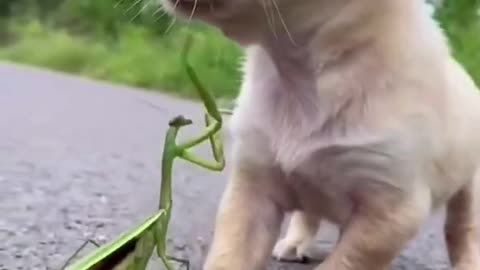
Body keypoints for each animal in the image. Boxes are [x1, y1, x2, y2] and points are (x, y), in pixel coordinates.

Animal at [162, 0, 480, 268]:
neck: (300, 72)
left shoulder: (393, 212)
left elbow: (344, 261)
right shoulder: (252, 187)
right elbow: (229, 256)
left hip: (470, 191)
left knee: (463, 230)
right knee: (308, 213)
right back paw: (295, 243)